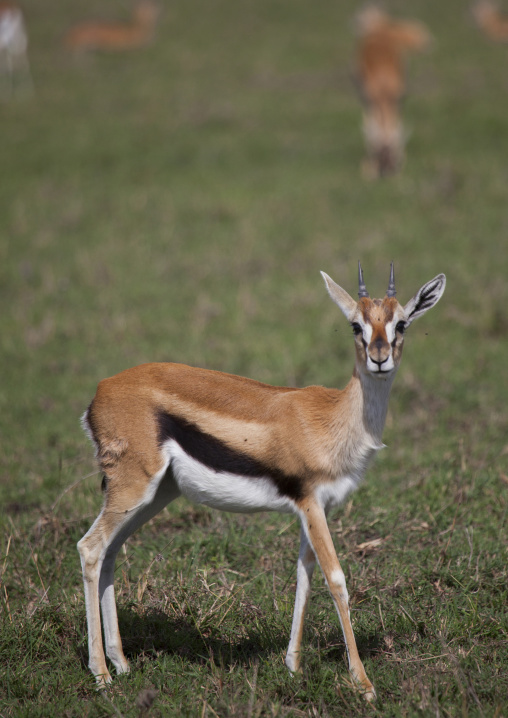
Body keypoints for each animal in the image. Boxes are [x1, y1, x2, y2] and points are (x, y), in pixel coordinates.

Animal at [78, 264, 446, 701]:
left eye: (401, 323)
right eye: (356, 325)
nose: (379, 358)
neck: (334, 418)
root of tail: (100, 392)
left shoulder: (314, 508)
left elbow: (304, 577)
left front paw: (293, 668)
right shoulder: (311, 504)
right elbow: (336, 579)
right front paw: (364, 684)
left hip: (154, 495)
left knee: (110, 552)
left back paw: (121, 663)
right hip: (133, 488)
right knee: (90, 548)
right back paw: (100, 674)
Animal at [354, 6, 431, 178]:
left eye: (394, 156)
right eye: (378, 154)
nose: (386, 173)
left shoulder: (399, 98)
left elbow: (397, 123)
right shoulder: (369, 99)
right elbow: (369, 124)